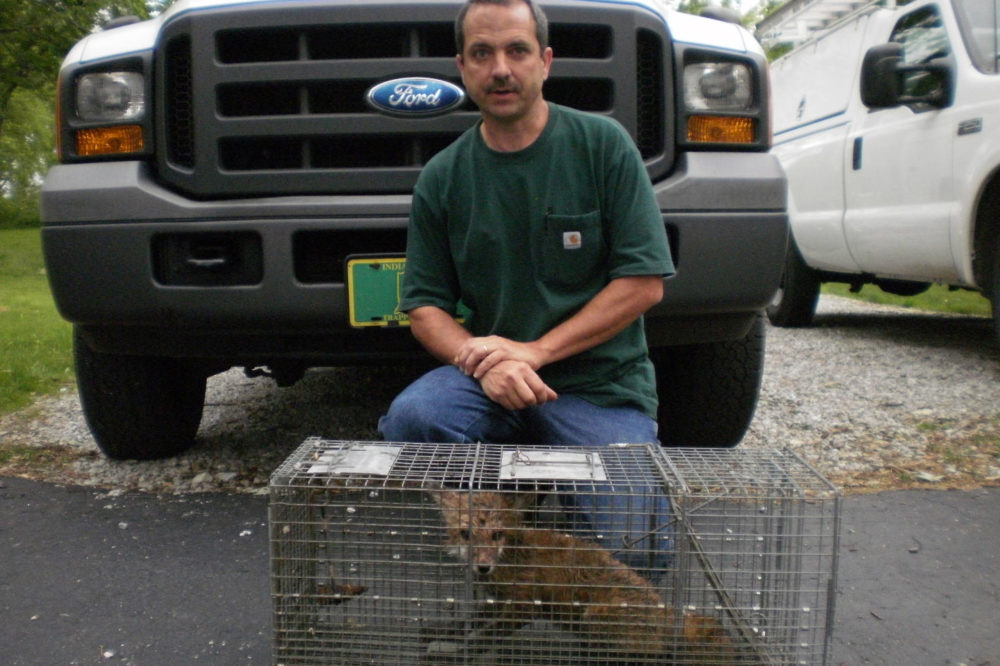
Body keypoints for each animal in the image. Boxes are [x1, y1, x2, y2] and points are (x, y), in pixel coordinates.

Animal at [424, 486, 736, 660]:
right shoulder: (499, 602)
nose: (483, 566)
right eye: (466, 534)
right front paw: (442, 630)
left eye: (497, 534)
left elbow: (481, 638)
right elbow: (468, 622)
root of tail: (671, 614)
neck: (510, 556)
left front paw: (454, 651)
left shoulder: (523, 607)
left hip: (593, 616)